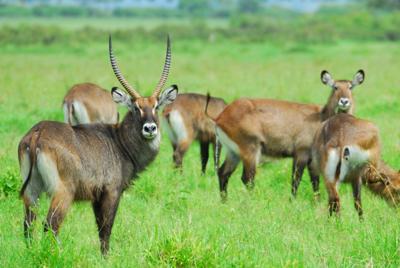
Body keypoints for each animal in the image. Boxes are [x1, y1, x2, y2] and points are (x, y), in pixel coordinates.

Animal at [17, 36, 177, 255]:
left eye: (156, 106)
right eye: (136, 108)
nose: (150, 128)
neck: (120, 142)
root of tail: (37, 133)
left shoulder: (95, 197)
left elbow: (99, 227)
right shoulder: (111, 192)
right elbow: (106, 229)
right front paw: (106, 257)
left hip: (32, 191)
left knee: (28, 224)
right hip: (63, 193)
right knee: (50, 225)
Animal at [209, 69, 366, 199]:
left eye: (350, 87)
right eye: (335, 87)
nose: (344, 101)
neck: (322, 117)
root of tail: (221, 116)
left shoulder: (313, 159)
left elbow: (315, 182)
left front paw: (317, 203)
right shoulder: (301, 153)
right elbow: (296, 180)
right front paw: (293, 202)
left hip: (233, 152)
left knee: (223, 173)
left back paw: (225, 202)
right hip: (250, 150)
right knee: (247, 178)